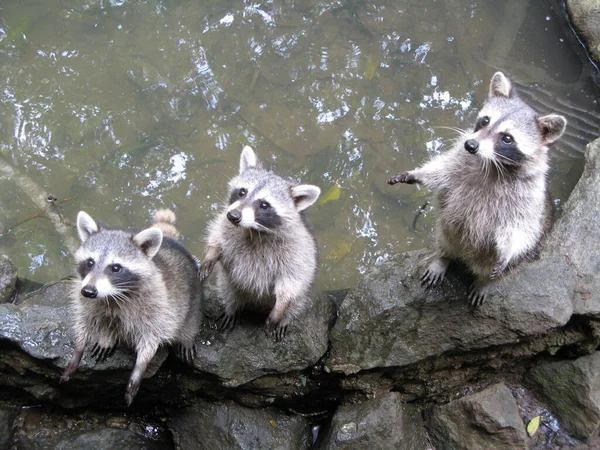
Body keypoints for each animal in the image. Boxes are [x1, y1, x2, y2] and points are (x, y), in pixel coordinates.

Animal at [61, 209, 202, 406]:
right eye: (90, 262)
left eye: (115, 268)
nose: (88, 291)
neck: (111, 295)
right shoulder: (85, 299)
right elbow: (84, 322)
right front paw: (78, 350)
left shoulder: (157, 308)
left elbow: (150, 340)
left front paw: (139, 368)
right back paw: (107, 336)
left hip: (192, 296)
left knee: (189, 319)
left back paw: (187, 337)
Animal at [199, 146, 322, 340]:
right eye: (242, 192)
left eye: (264, 205)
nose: (233, 216)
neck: (253, 231)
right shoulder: (225, 225)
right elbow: (217, 238)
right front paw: (210, 255)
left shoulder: (298, 251)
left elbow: (291, 282)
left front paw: (279, 310)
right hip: (228, 283)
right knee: (229, 290)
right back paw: (232, 308)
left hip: (302, 292)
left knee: (297, 300)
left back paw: (285, 317)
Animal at [390, 72, 568, 306]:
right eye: (485, 120)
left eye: (507, 138)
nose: (471, 145)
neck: (490, 164)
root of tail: (467, 256)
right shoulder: (458, 162)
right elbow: (440, 172)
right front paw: (416, 174)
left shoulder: (528, 195)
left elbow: (521, 227)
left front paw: (508, 251)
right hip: (447, 231)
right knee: (445, 236)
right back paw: (443, 256)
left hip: (521, 254)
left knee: (507, 262)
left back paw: (485, 281)